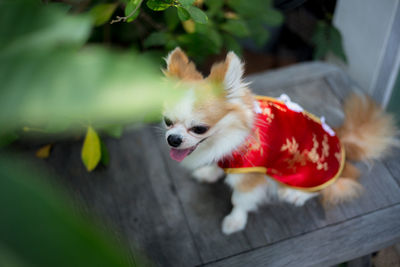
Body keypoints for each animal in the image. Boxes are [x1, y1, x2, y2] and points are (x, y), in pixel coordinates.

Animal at [160, 47, 396, 234]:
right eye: (167, 121)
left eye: (199, 129)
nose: (173, 139)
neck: (228, 136)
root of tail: (343, 142)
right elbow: (218, 167)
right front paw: (209, 173)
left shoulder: (250, 177)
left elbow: (240, 200)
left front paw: (235, 221)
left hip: (306, 175)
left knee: (336, 186)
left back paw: (296, 195)